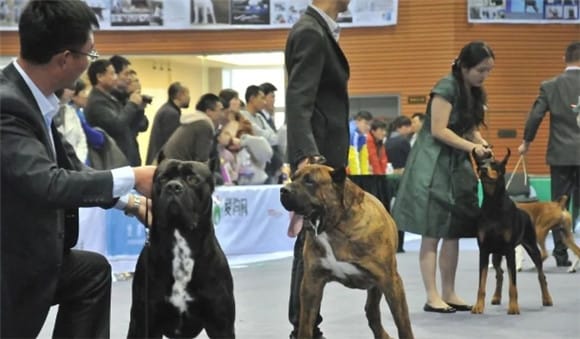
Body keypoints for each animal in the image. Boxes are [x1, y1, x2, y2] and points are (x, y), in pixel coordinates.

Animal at [280, 165, 412, 339]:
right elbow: (305, 324)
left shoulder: (390, 281)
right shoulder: (311, 283)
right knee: (372, 313)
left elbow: (403, 324)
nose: (283, 190)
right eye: (293, 178)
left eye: (310, 181)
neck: (335, 227)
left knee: (373, 312)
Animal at [472, 149, 552, 316]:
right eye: (480, 163)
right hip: (496, 254)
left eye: (494, 164)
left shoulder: (509, 251)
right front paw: (478, 306)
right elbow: (481, 282)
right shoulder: (484, 249)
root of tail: (525, 212)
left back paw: (547, 299)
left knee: (541, 274)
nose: (483, 170)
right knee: (500, 273)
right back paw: (496, 297)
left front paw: (514, 307)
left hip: (531, 246)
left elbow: (513, 283)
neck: (493, 205)